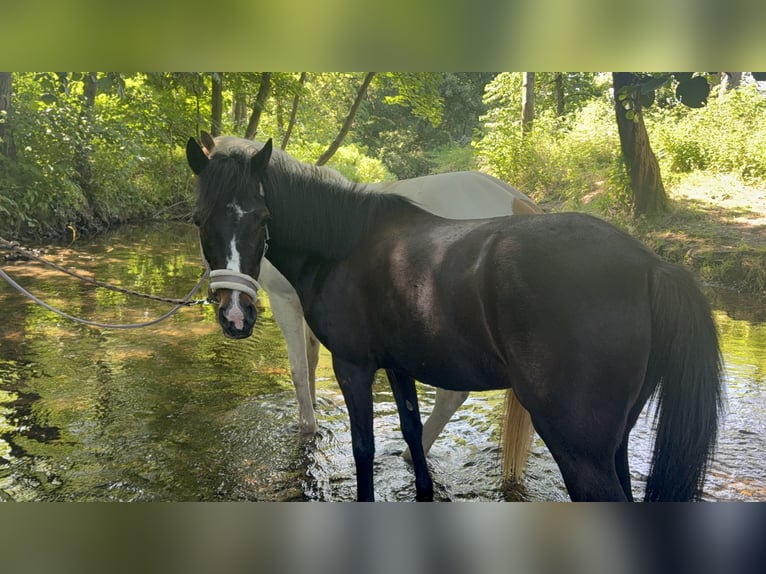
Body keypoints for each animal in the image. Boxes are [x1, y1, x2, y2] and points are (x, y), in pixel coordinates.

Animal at [186, 135, 724, 502]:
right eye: (199, 219)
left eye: (262, 218)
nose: (234, 314)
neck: (346, 243)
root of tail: (651, 265)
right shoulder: (398, 365)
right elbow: (408, 428)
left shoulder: (353, 365)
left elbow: (361, 444)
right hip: (614, 442)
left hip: (578, 447)